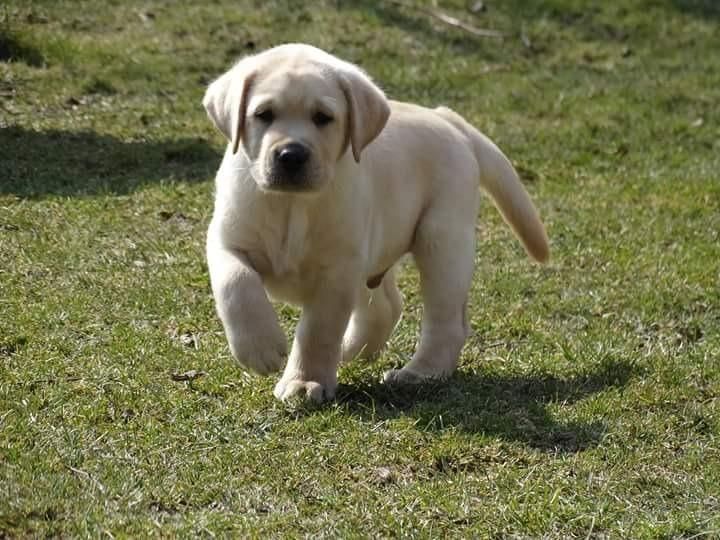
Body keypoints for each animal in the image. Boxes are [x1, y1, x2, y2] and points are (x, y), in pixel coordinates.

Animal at [200, 44, 548, 402]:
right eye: (263, 114)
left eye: (323, 118)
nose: (291, 155)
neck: (291, 205)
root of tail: (444, 116)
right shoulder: (226, 241)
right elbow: (236, 284)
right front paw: (260, 347)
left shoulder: (339, 269)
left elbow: (318, 330)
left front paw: (304, 381)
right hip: (380, 251)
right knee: (388, 306)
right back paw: (351, 350)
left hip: (442, 242)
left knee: (446, 322)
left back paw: (419, 373)